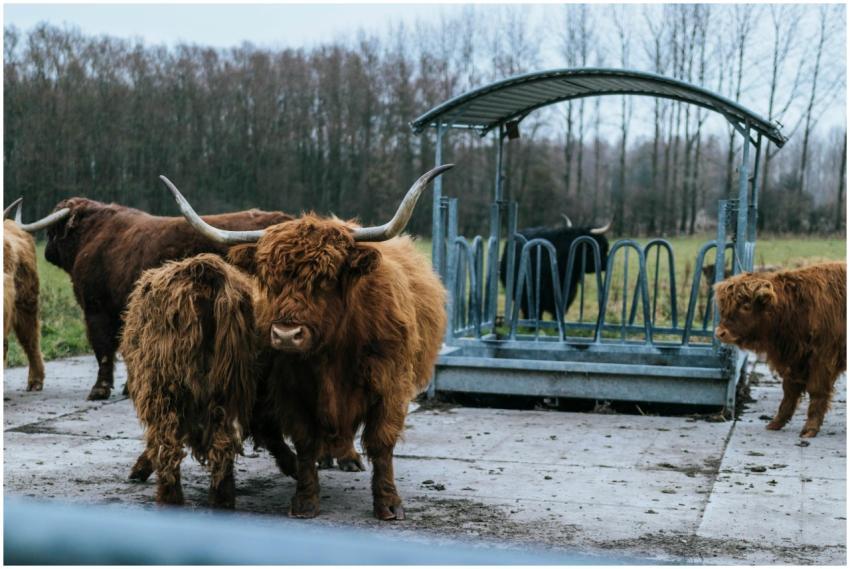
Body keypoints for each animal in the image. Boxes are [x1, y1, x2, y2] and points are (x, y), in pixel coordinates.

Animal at [14, 197, 292, 401]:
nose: (47, 252)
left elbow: (103, 349)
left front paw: (99, 389)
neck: (93, 236)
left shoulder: (96, 309)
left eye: (53, 231)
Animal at [121, 254, 297, 507]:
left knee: (168, 444)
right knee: (222, 441)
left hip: (165, 386)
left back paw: (171, 499)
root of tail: (202, 270)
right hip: (227, 386)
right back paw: (221, 500)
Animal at [161, 165, 451, 520]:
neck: (332, 354)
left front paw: (388, 503)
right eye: (269, 279)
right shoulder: (292, 389)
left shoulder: (390, 384)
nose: (287, 334)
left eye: (325, 278)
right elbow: (305, 442)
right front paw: (306, 499)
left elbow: (381, 443)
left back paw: (347, 458)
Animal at [714, 262, 846, 438]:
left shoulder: (822, 359)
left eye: (746, 306)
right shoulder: (794, 361)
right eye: (724, 308)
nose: (720, 333)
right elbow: (789, 392)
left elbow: (817, 391)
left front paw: (810, 429)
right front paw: (776, 423)